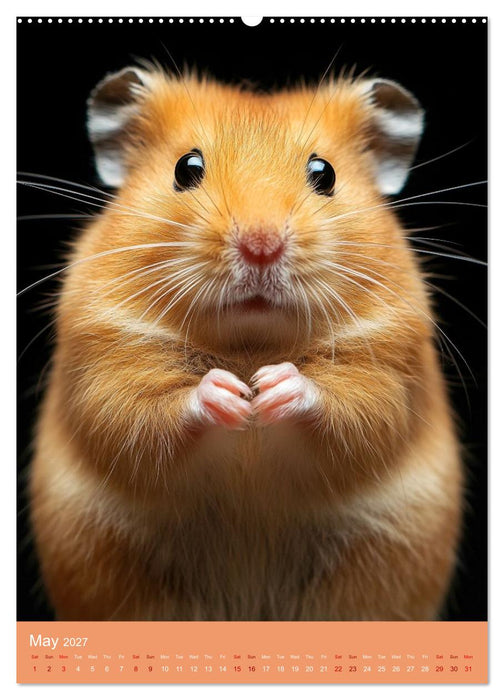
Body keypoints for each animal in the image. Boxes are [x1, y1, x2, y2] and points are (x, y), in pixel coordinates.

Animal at [30, 65, 462, 621]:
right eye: (186, 167)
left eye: (325, 174)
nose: (261, 246)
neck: (249, 345)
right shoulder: (106, 361)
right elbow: (143, 413)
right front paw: (232, 395)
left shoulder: (388, 366)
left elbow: (350, 407)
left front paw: (271, 388)